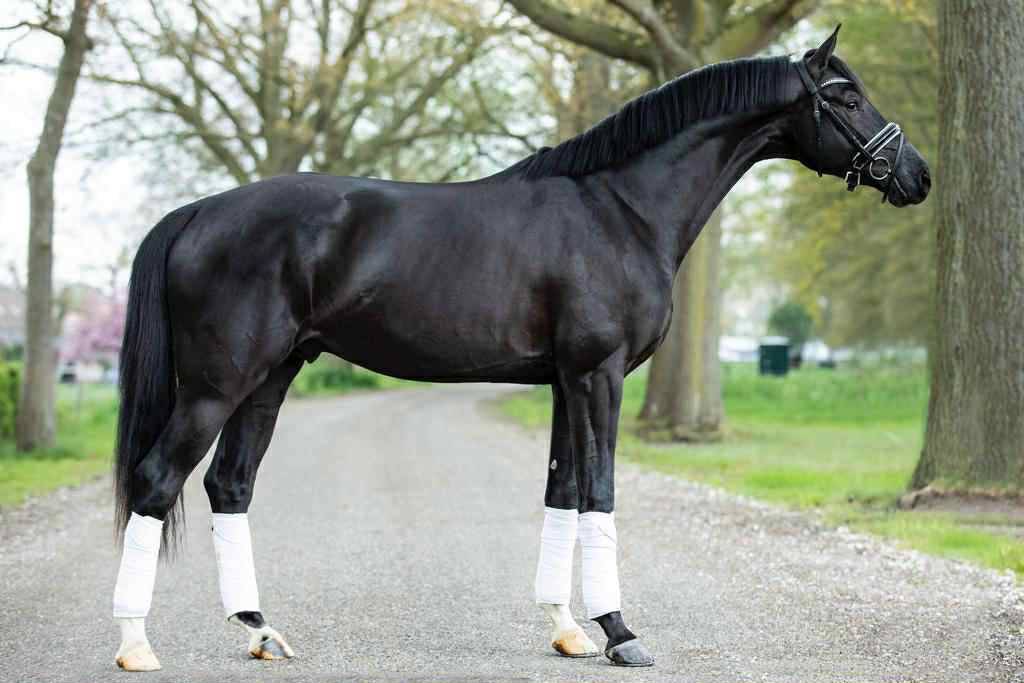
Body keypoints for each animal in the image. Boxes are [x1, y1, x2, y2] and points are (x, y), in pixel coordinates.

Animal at [110, 28, 930, 671]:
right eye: (845, 97)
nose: (917, 175)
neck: (623, 210)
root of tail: (199, 212)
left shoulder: (567, 380)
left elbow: (561, 491)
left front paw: (568, 631)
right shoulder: (599, 375)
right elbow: (600, 490)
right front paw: (621, 632)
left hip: (271, 375)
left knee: (229, 485)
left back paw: (260, 631)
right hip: (217, 384)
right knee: (156, 480)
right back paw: (135, 644)